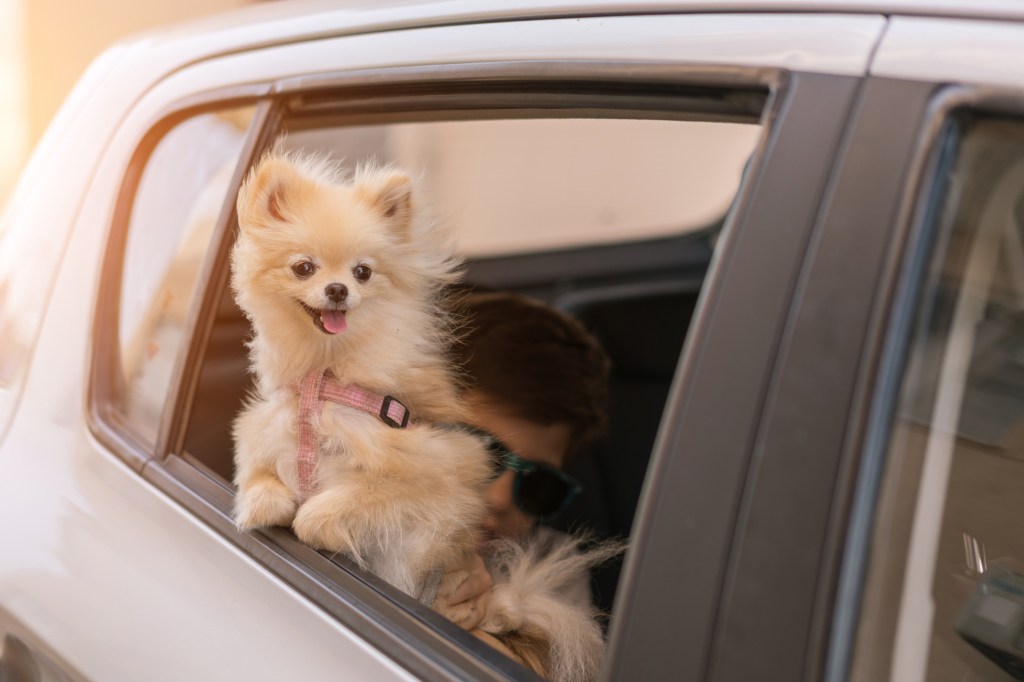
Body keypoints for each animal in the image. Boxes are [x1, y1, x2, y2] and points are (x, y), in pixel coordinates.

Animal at [232, 150, 610, 679]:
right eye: (303, 268)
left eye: (363, 272)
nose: (337, 289)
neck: (324, 381)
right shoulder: (269, 436)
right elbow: (261, 482)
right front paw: (265, 505)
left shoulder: (429, 477)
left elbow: (332, 507)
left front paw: (316, 520)